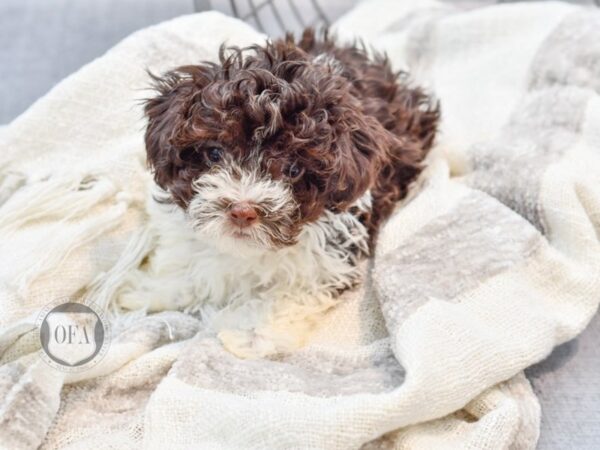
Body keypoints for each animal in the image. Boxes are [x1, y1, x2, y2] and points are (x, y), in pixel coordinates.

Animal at [119, 29, 438, 356]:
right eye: (215, 153)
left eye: (293, 169)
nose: (242, 211)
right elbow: (187, 264)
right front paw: (147, 289)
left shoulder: (331, 256)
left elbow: (290, 295)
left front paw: (249, 333)